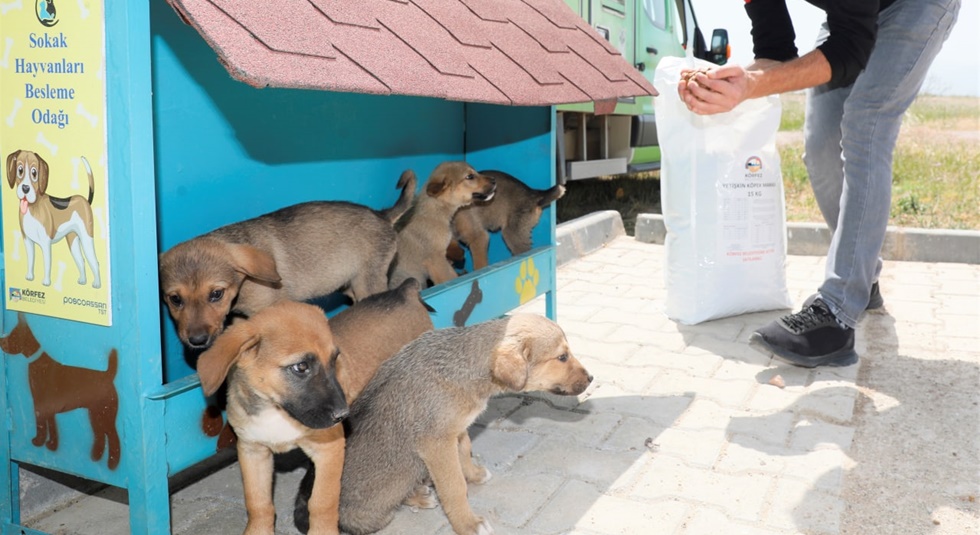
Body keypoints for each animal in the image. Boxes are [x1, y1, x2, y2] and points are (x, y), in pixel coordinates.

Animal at [5, 149, 100, 292]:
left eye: (34, 172)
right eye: (20, 170)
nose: (25, 188)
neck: (33, 206)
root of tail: (85, 201)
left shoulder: (45, 243)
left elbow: (47, 264)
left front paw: (46, 282)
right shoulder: (27, 241)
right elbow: (30, 260)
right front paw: (29, 276)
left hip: (87, 238)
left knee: (94, 262)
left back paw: (97, 284)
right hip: (73, 241)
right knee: (81, 260)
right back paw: (83, 281)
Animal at [197, 280, 434, 535]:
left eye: (334, 360)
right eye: (301, 367)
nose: (343, 415)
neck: (276, 410)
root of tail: (402, 291)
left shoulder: (329, 450)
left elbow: (321, 502)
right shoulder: (252, 450)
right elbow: (257, 503)